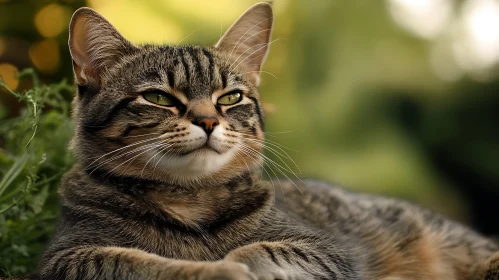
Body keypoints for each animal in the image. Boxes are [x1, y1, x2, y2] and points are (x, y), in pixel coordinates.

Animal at [38, 2, 499, 280]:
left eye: (230, 97)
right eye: (158, 98)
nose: (208, 120)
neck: (189, 200)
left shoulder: (323, 250)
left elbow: (259, 249)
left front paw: (232, 262)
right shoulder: (68, 257)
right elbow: (144, 263)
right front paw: (214, 269)